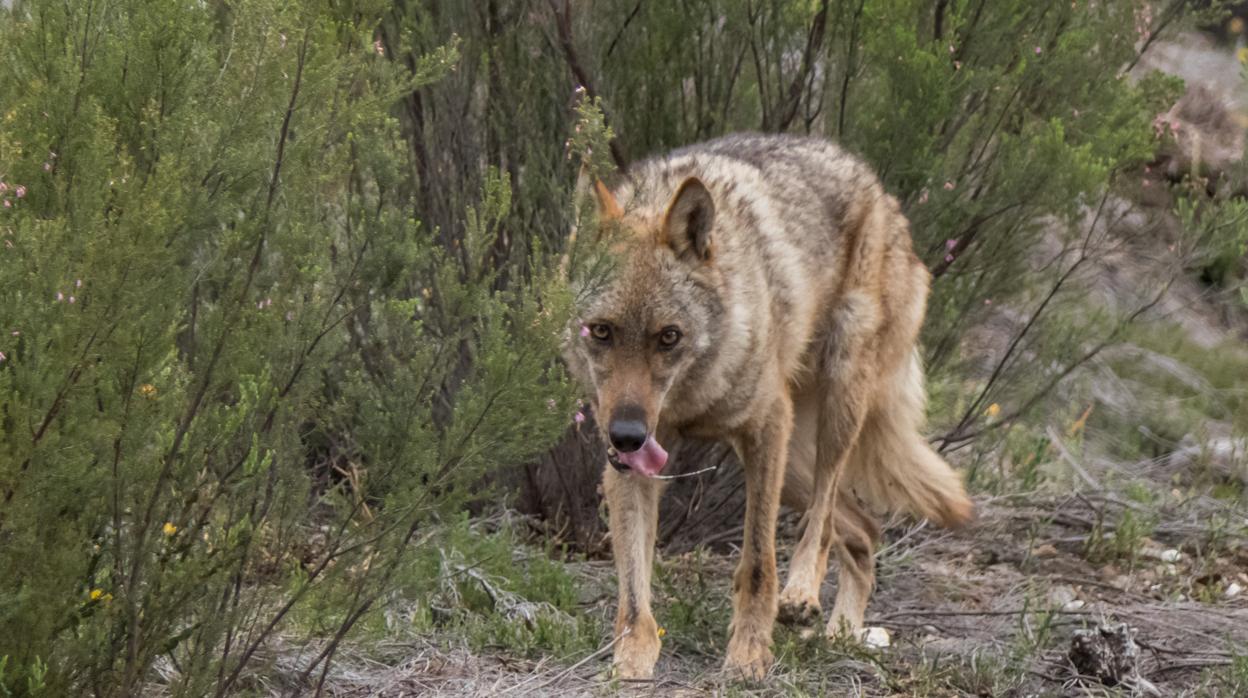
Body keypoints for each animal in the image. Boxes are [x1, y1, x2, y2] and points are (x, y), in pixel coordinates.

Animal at [566, 133, 973, 679]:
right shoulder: (629, 467)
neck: (692, 396)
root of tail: (881, 192)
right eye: (601, 331)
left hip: (833, 410)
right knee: (864, 530)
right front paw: (630, 661)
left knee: (823, 521)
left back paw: (802, 596)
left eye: (668, 337)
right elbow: (633, 587)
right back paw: (842, 634)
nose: (627, 435)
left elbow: (758, 562)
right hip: (794, 466)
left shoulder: (764, 429)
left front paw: (749, 655)